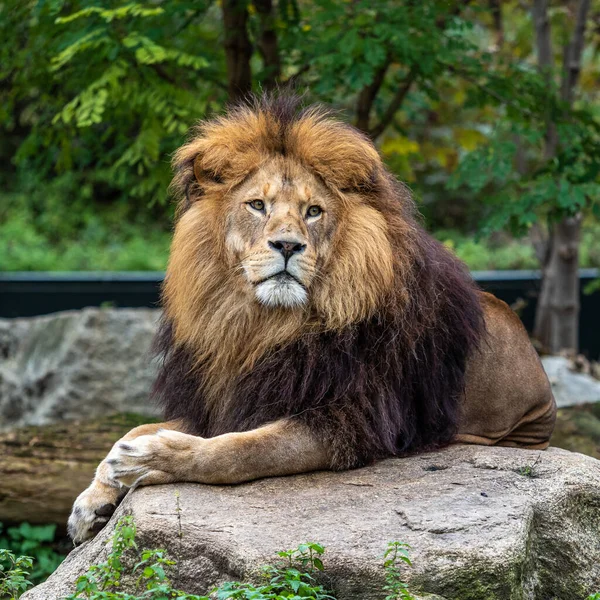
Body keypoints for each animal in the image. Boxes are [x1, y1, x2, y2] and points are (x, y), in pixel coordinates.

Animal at [67, 95, 556, 544]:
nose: (287, 245)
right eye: (257, 205)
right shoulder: (231, 398)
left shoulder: (349, 421)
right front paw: (95, 497)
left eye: (313, 211)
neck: (262, 326)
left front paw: (148, 460)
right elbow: (140, 428)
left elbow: (239, 451)